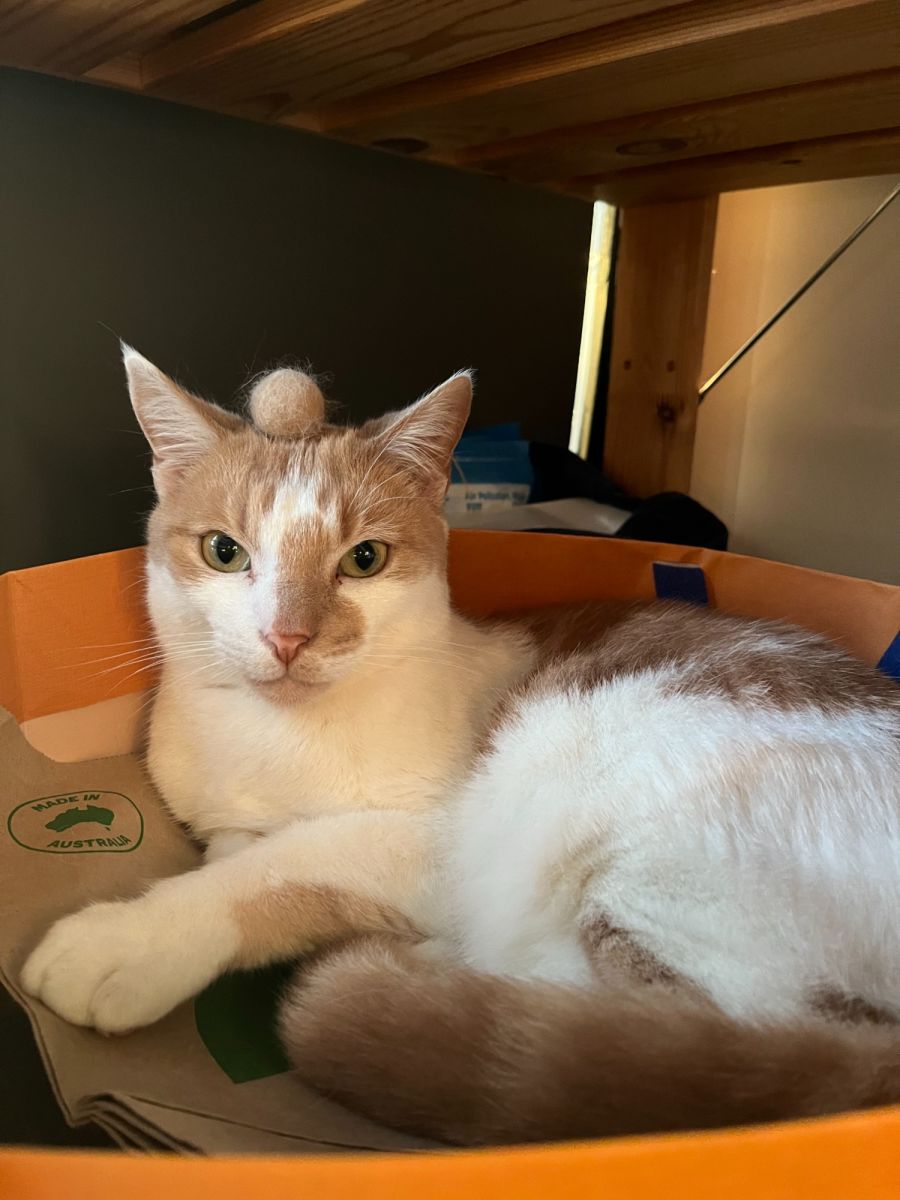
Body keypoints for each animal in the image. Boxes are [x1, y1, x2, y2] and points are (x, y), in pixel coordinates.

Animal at [22, 349, 900, 1146]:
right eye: (223, 551)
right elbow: (240, 846)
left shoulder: (438, 838)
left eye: (364, 559)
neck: (277, 738)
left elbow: (282, 863)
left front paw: (132, 939)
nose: (287, 637)